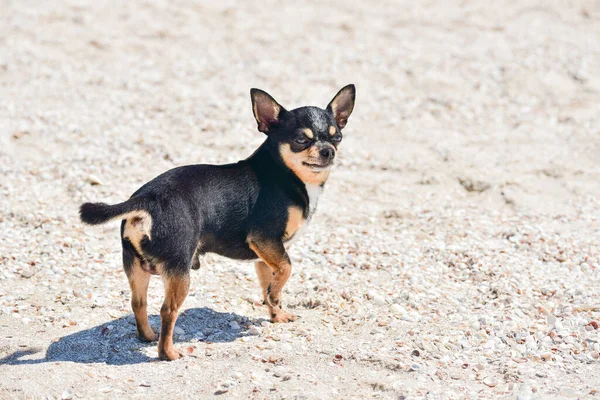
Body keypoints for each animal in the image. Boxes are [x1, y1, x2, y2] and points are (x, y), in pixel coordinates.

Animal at [78, 86, 354, 360]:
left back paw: (147, 336)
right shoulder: (265, 239)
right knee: (168, 310)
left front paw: (277, 313)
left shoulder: (265, 256)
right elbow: (286, 270)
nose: (329, 151)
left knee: (138, 303)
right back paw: (169, 353)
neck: (287, 174)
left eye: (337, 137)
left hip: (136, 267)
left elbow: (269, 286)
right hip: (180, 271)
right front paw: (276, 296)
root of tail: (147, 200)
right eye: (301, 140)